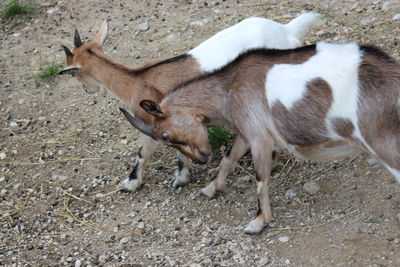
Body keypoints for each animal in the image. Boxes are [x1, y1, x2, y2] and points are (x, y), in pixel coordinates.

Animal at [58, 13, 322, 193]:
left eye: (74, 73)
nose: (88, 89)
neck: (137, 80)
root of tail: (286, 30)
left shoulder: (153, 120)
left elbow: (144, 152)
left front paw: (131, 183)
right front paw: (183, 176)